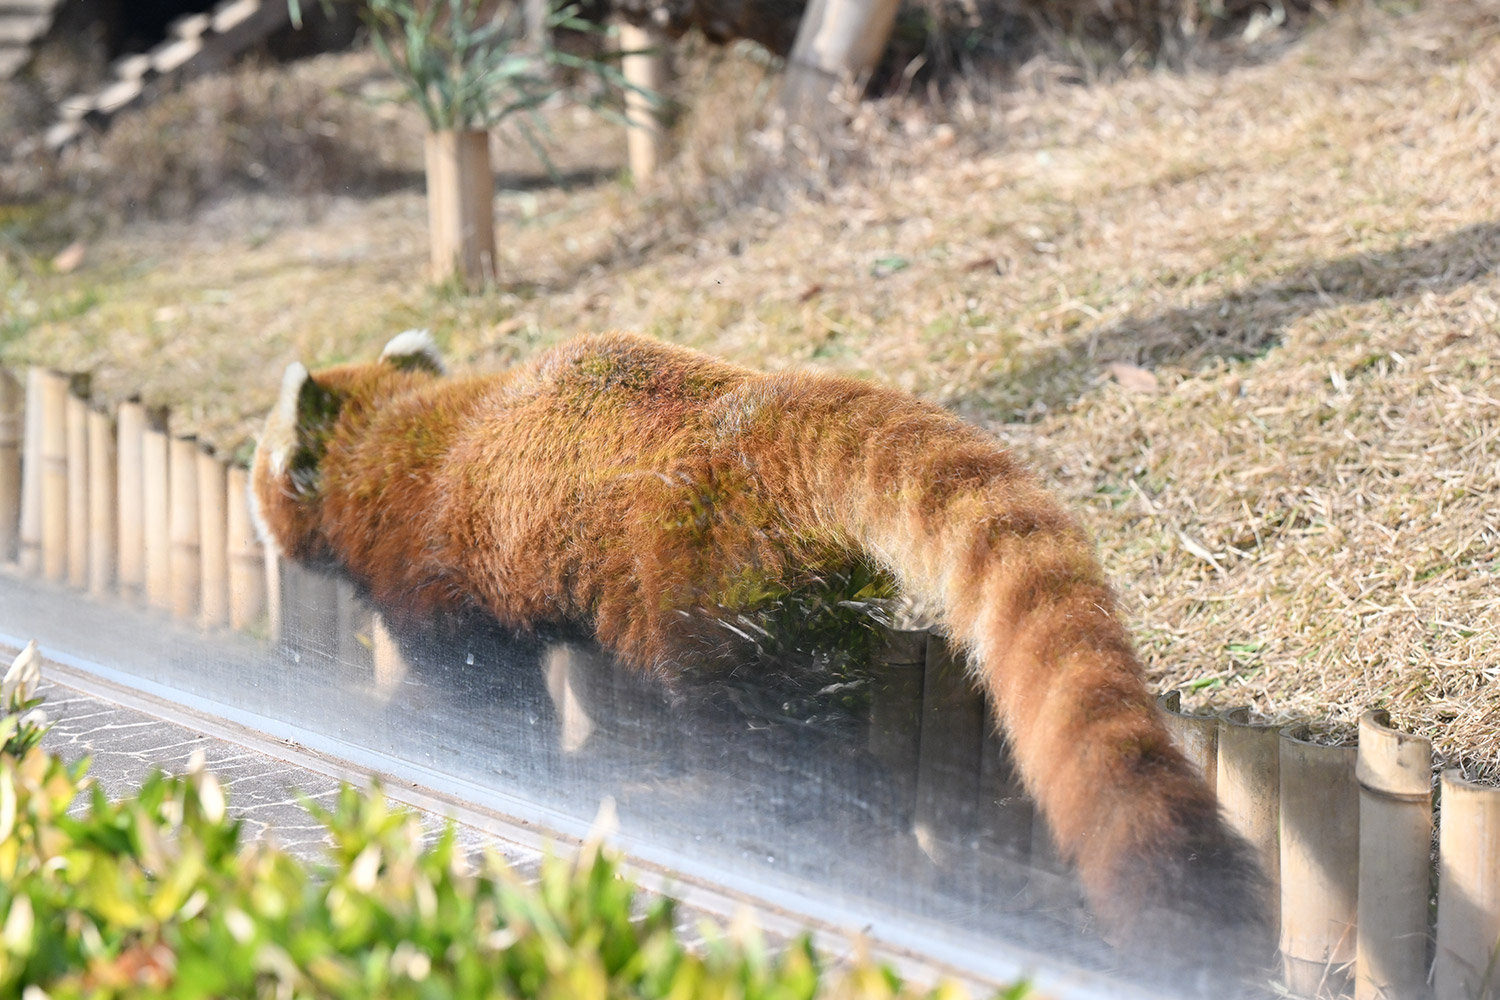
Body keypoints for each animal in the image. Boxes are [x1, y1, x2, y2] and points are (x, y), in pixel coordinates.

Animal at [251, 329, 1270, 974]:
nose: (262, 531)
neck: (386, 440)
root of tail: (754, 406)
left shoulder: (437, 584)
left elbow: (485, 695)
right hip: (809, 600)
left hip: (703, 581)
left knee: (757, 728)